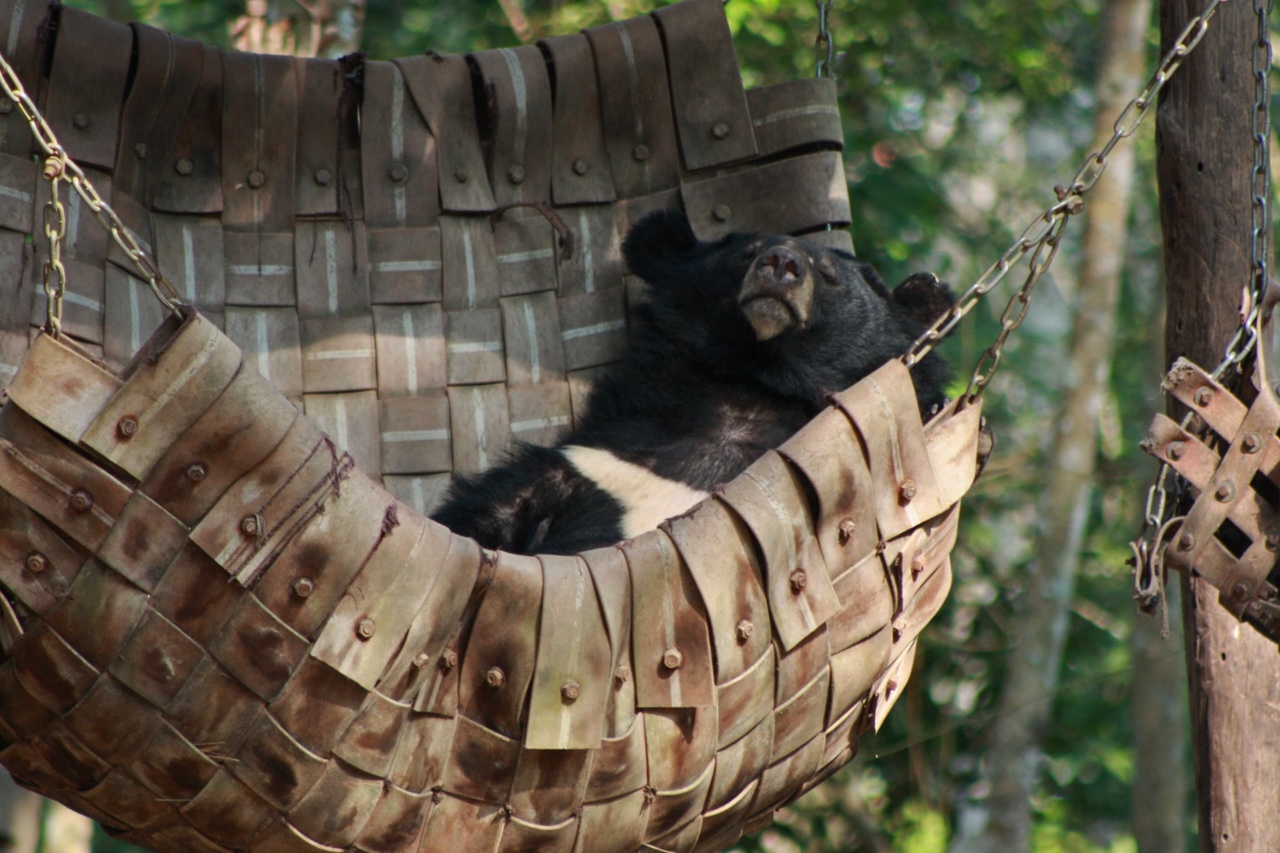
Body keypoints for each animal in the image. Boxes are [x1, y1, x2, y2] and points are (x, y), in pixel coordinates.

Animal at [429, 209, 954, 556]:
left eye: (828, 276)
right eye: (746, 252)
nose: (781, 263)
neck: (753, 378)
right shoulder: (586, 465)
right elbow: (484, 513)